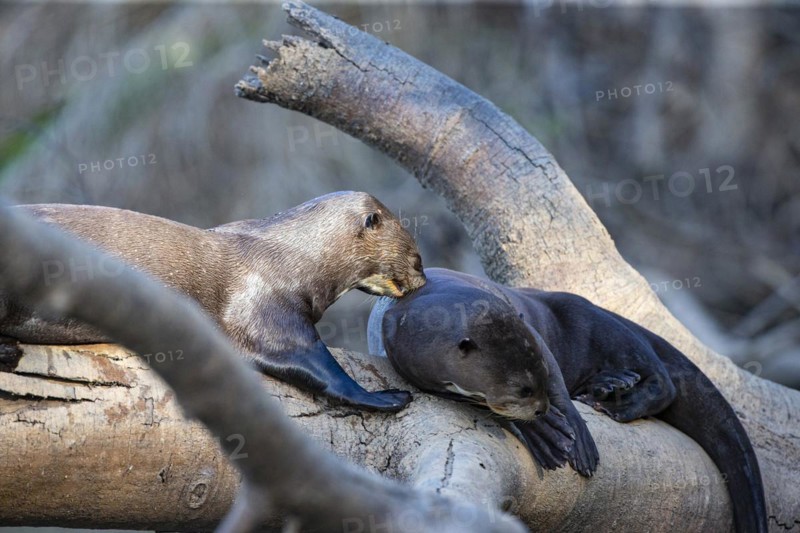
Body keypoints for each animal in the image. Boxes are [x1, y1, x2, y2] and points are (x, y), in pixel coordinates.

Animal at [0, 191, 426, 412]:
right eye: (417, 258)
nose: (422, 279)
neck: (296, 257)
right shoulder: (266, 310)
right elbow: (318, 369)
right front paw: (385, 397)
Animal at [368, 268, 767, 533]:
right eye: (521, 390)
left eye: (540, 375)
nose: (541, 408)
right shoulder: (415, 370)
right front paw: (543, 433)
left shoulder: (536, 338)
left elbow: (558, 384)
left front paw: (577, 438)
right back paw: (607, 386)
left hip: (597, 321)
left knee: (663, 381)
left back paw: (614, 399)